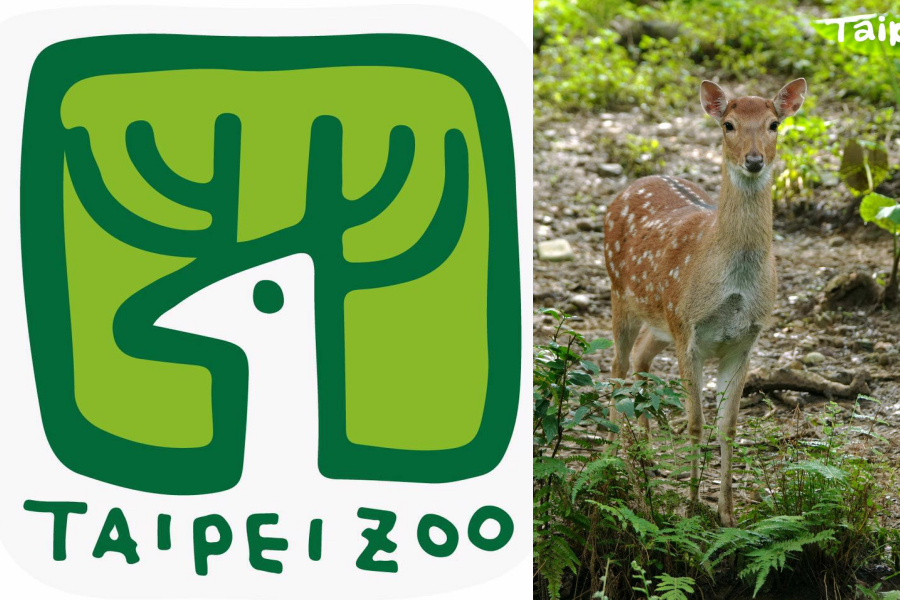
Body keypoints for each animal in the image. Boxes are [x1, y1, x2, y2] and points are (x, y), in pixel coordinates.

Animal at [603, 78, 807, 526]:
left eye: (775, 125)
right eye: (728, 124)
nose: (754, 160)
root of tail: (633, 183)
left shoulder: (743, 340)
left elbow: (727, 426)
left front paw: (727, 513)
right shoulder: (690, 334)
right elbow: (696, 423)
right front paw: (692, 506)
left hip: (663, 317)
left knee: (641, 356)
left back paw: (645, 445)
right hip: (621, 293)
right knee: (617, 366)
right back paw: (615, 452)